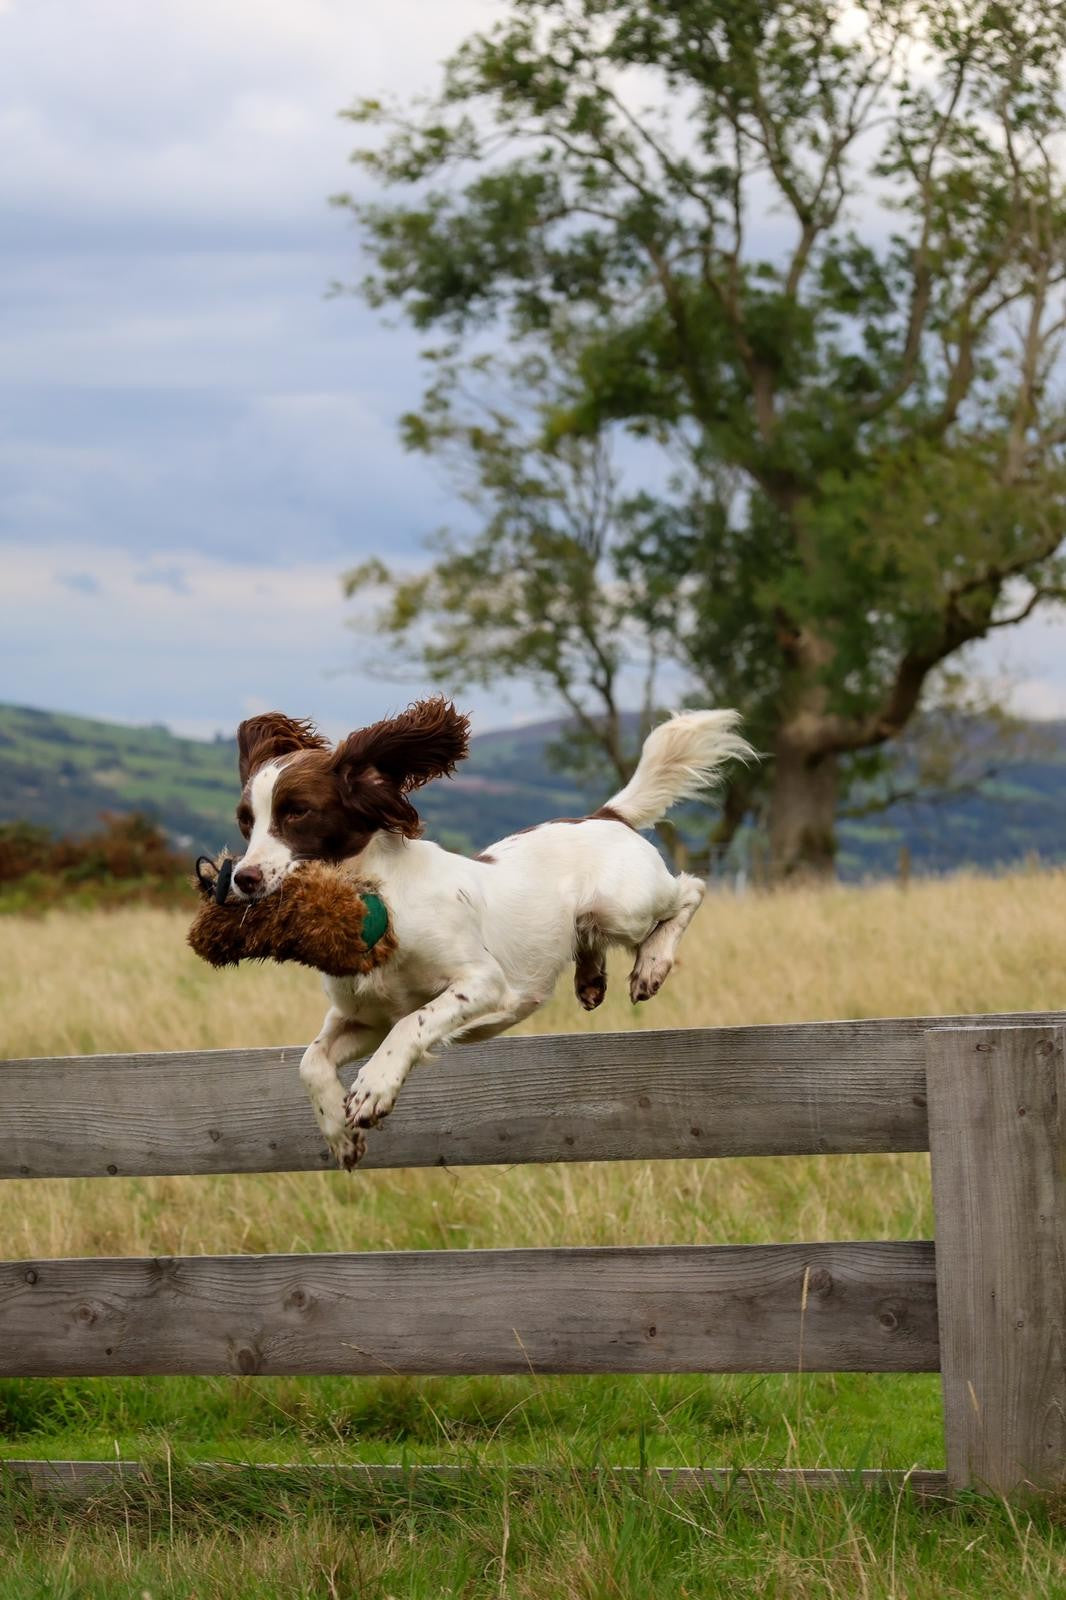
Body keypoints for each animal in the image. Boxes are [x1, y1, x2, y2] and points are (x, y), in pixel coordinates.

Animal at [230, 698, 752, 1168]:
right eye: (245, 821)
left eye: (297, 812)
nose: (242, 878)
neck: (378, 897)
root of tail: (605, 816)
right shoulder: (363, 1017)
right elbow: (311, 1060)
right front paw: (340, 1134)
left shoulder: (481, 982)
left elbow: (411, 1023)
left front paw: (373, 1089)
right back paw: (590, 979)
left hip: (624, 906)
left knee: (691, 889)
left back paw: (651, 965)